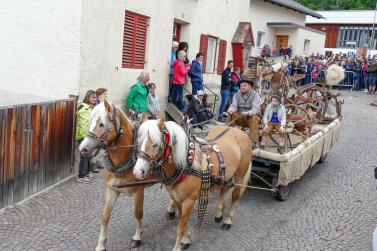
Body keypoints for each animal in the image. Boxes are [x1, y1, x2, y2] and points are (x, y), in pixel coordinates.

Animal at [78, 100, 156, 251]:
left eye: (101, 124)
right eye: (90, 121)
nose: (83, 148)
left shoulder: (139, 191)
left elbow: (138, 213)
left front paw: (137, 237)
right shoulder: (112, 189)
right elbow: (105, 215)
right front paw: (101, 244)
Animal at [133, 118, 253, 251]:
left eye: (155, 144)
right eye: (139, 142)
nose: (137, 171)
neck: (185, 164)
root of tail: (239, 131)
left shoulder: (189, 200)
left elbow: (181, 227)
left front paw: (178, 246)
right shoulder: (177, 198)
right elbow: (183, 222)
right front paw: (187, 238)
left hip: (240, 175)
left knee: (235, 196)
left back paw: (228, 220)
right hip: (225, 175)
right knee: (223, 189)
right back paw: (218, 213)